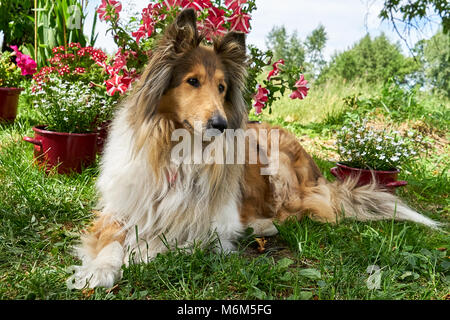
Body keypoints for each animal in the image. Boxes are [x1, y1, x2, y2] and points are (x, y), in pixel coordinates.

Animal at [67, 9, 440, 290]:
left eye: (222, 87)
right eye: (192, 81)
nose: (221, 125)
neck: (177, 151)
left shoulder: (213, 227)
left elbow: (172, 239)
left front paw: (141, 254)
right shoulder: (122, 209)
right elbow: (111, 241)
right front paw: (98, 269)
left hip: (275, 161)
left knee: (299, 211)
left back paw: (263, 225)